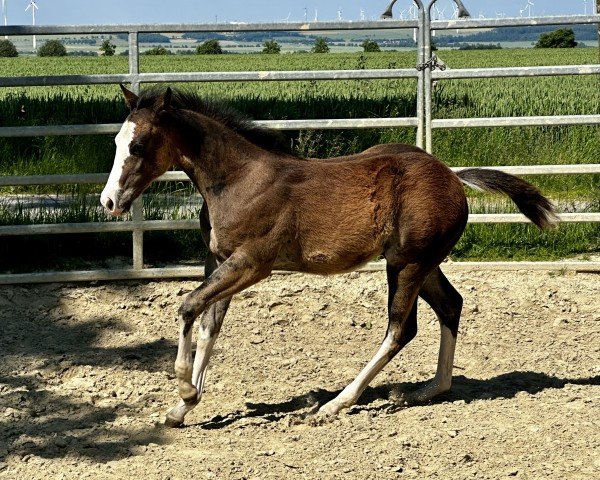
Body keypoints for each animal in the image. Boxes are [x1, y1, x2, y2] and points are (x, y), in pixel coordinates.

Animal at [101, 86, 556, 428]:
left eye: (138, 145)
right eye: (116, 142)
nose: (109, 202)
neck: (237, 179)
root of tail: (453, 177)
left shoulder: (252, 264)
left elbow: (187, 306)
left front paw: (184, 389)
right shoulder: (219, 260)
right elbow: (208, 324)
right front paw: (182, 407)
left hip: (407, 264)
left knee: (400, 328)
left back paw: (336, 403)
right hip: (419, 262)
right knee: (451, 305)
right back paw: (427, 390)